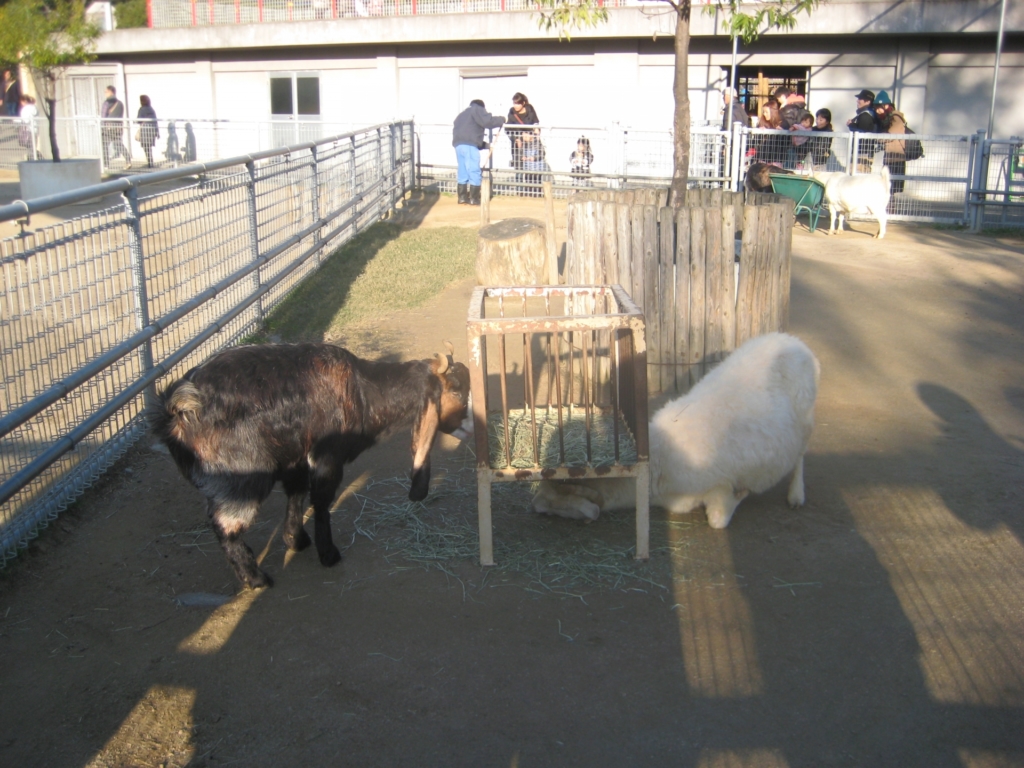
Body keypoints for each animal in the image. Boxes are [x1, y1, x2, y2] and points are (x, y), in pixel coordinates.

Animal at [149, 342, 468, 589]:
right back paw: (256, 579)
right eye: (458, 392)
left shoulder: (296, 459)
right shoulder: (327, 456)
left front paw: (296, 539)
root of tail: (177, 412)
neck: (365, 391)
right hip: (241, 474)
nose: (467, 425)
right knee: (227, 525)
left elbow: (297, 495)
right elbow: (322, 501)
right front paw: (328, 554)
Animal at [532, 333, 819, 532]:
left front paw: (743, 493)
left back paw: (796, 495)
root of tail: (796, 343)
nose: (537, 511)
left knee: (800, 456)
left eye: (551, 503)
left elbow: (718, 519)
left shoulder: (718, 486)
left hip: (805, 423)